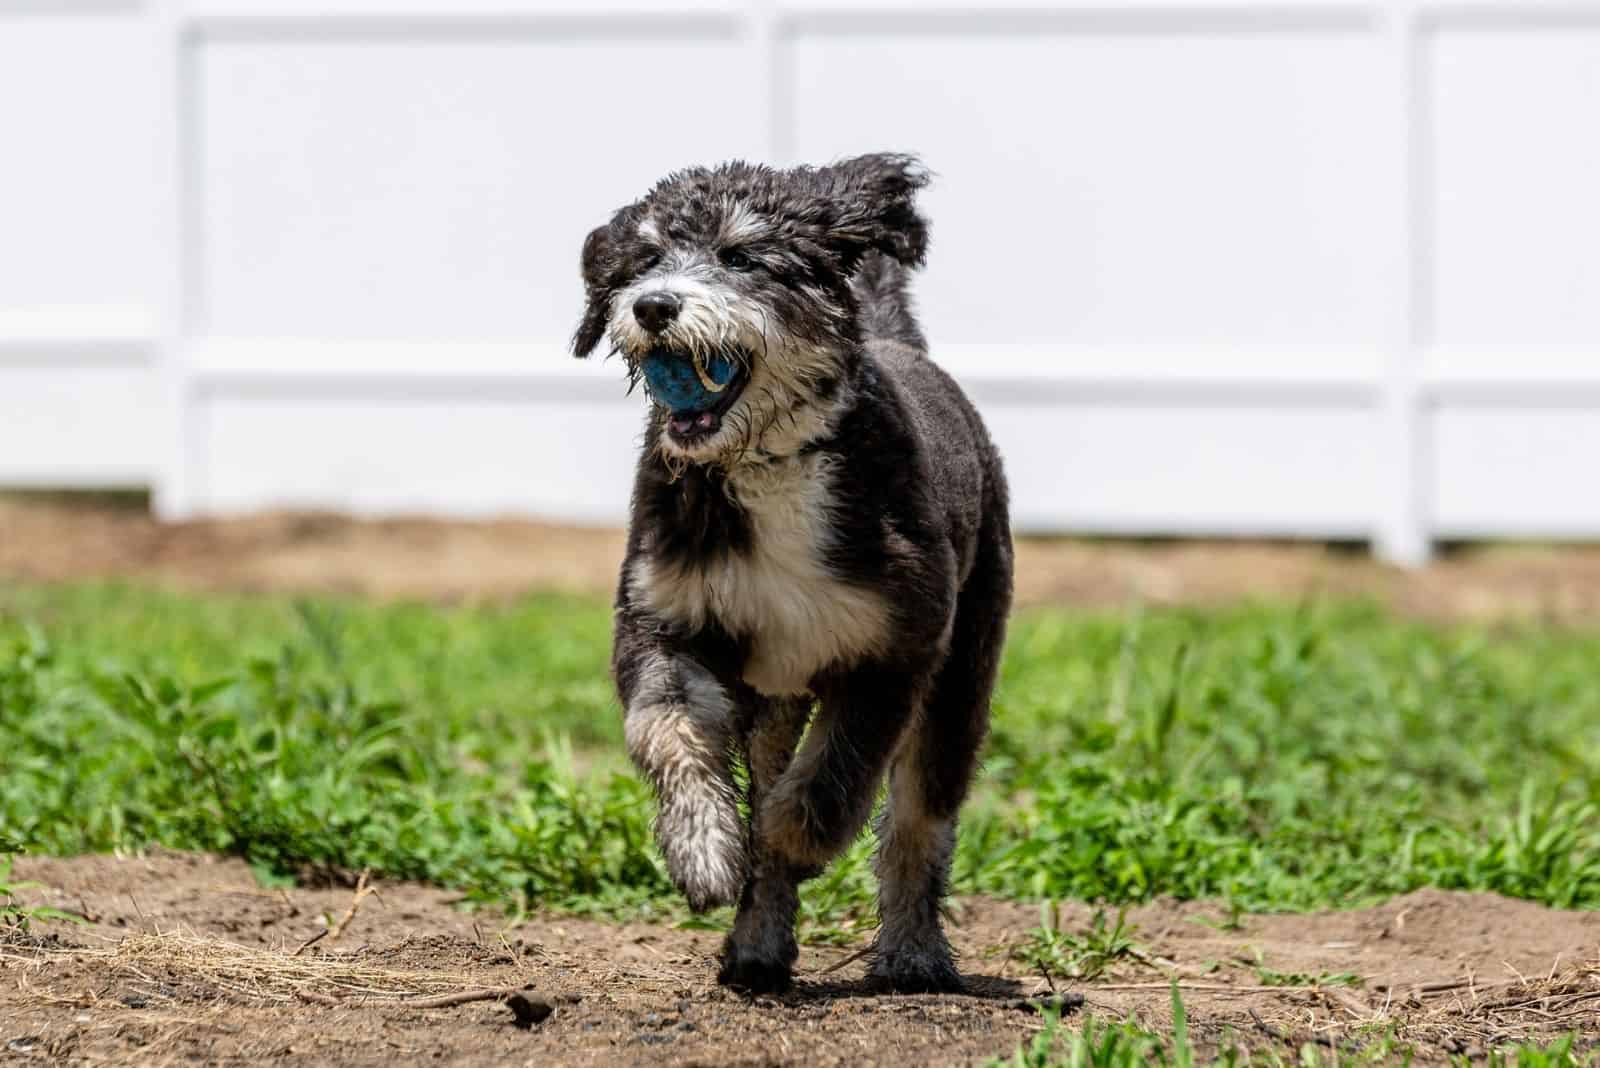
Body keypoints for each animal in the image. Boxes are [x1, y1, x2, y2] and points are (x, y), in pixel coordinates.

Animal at [569, 150, 1004, 991]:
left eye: (741, 257)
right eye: (644, 260)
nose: (654, 306)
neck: (769, 464)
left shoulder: (897, 647)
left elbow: (839, 773)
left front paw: (795, 836)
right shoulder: (661, 620)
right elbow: (666, 728)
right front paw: (705, 850)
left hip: (965, 666)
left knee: (920, 815)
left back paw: (913, 951)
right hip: (774, 697)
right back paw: (758, 941)